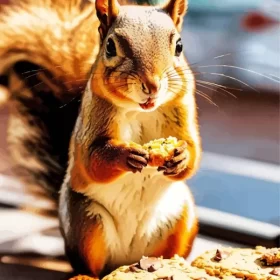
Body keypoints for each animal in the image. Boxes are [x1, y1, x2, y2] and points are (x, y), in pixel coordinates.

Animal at [0, 0, 201, 280]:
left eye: (179, 46)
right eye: (110, 46)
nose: (152, 85)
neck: (140, 110)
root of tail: (128, 260)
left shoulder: (183, 107)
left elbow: (192, 149)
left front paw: (180, 157)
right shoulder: (92, 119)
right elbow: (92, 159)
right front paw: (125, 155)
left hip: (182, 218)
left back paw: (173, 265)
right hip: (86, 222)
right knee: (90, 264)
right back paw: (85, 275)